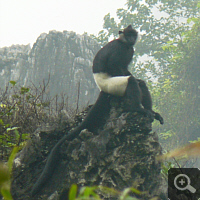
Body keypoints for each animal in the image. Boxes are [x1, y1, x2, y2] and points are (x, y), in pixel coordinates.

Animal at [30, 25, 163, 197]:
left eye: (133, 35)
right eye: (128, 35)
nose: (132, 39)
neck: (124, 43)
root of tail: (102, 87)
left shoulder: (129, 50)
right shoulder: (120, 49)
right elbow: (114, 65)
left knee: (140, 84)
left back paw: (149, 111)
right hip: (112, 85)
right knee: (131, 81)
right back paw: (135, 108)